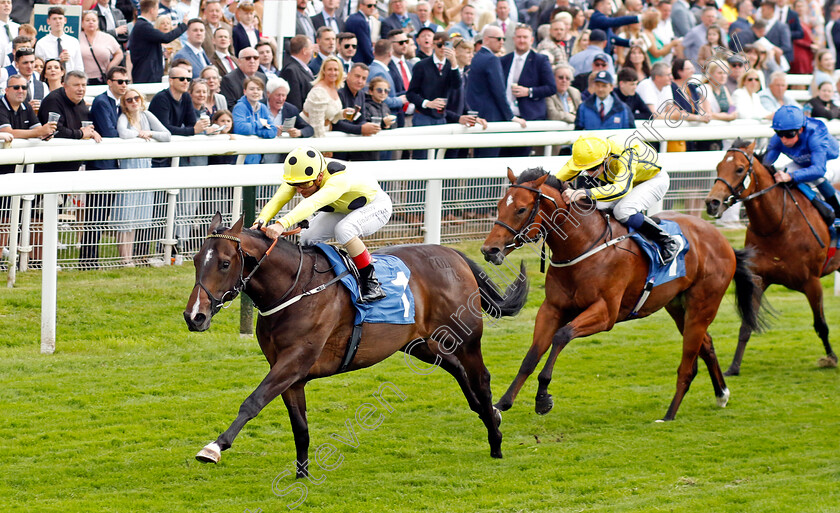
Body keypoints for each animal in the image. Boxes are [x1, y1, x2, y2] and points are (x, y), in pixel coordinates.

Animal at [185, 213, 524, 476]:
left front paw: (213, 447)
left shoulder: (294, 361)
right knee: (455, 368)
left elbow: (252, 401)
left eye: (225, 263)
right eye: (196, 260)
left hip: (466, 338)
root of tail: (453, 254)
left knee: (481, 378)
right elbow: (300, 426)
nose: (194, 316)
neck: (294, 288)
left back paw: (495, 439)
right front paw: (302, 475)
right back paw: (489, 414)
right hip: (419, 342)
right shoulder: (291, 373)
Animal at [480, 168, 760, 420]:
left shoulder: (606, 313)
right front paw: (502, 403)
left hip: (703, 306)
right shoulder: (552, 308)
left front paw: (542, 398)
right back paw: (721, 394)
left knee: (687, 364)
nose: (489, 250)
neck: (583, 244)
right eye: (499, 205)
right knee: (707, 345)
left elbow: (562, 336)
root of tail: (723, 241)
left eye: (521, 209)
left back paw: (669, 414)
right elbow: (531, 355)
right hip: (678, 307)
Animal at [704, 139, 836, 372]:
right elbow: (746, 326)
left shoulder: (812, 282)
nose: (712, 203)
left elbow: (821, 325)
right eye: (718, 166)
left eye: (739, 169)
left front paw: (830, 359)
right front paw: (734, 367)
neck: (778, 225)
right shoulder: (759, 278)